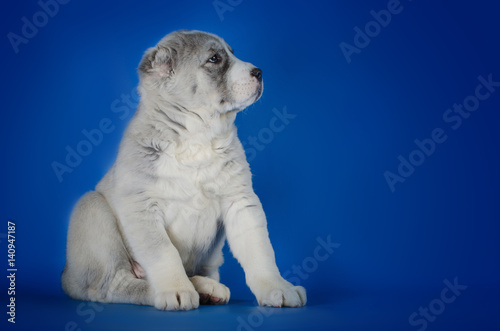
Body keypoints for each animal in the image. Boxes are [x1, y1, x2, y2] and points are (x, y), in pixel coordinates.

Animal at [61, 29, 306, 312]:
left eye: (232, 53)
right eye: (214, 59)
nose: (259, 72)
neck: (196, 137)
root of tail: (66, 275)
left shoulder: (240, 201)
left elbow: (260, 251)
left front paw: (277, 287)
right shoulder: (141, 207)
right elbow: (165, 253)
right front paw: (175, 289)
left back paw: (206, 287)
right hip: (91, 208)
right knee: (116, 286)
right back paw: (173, 290)